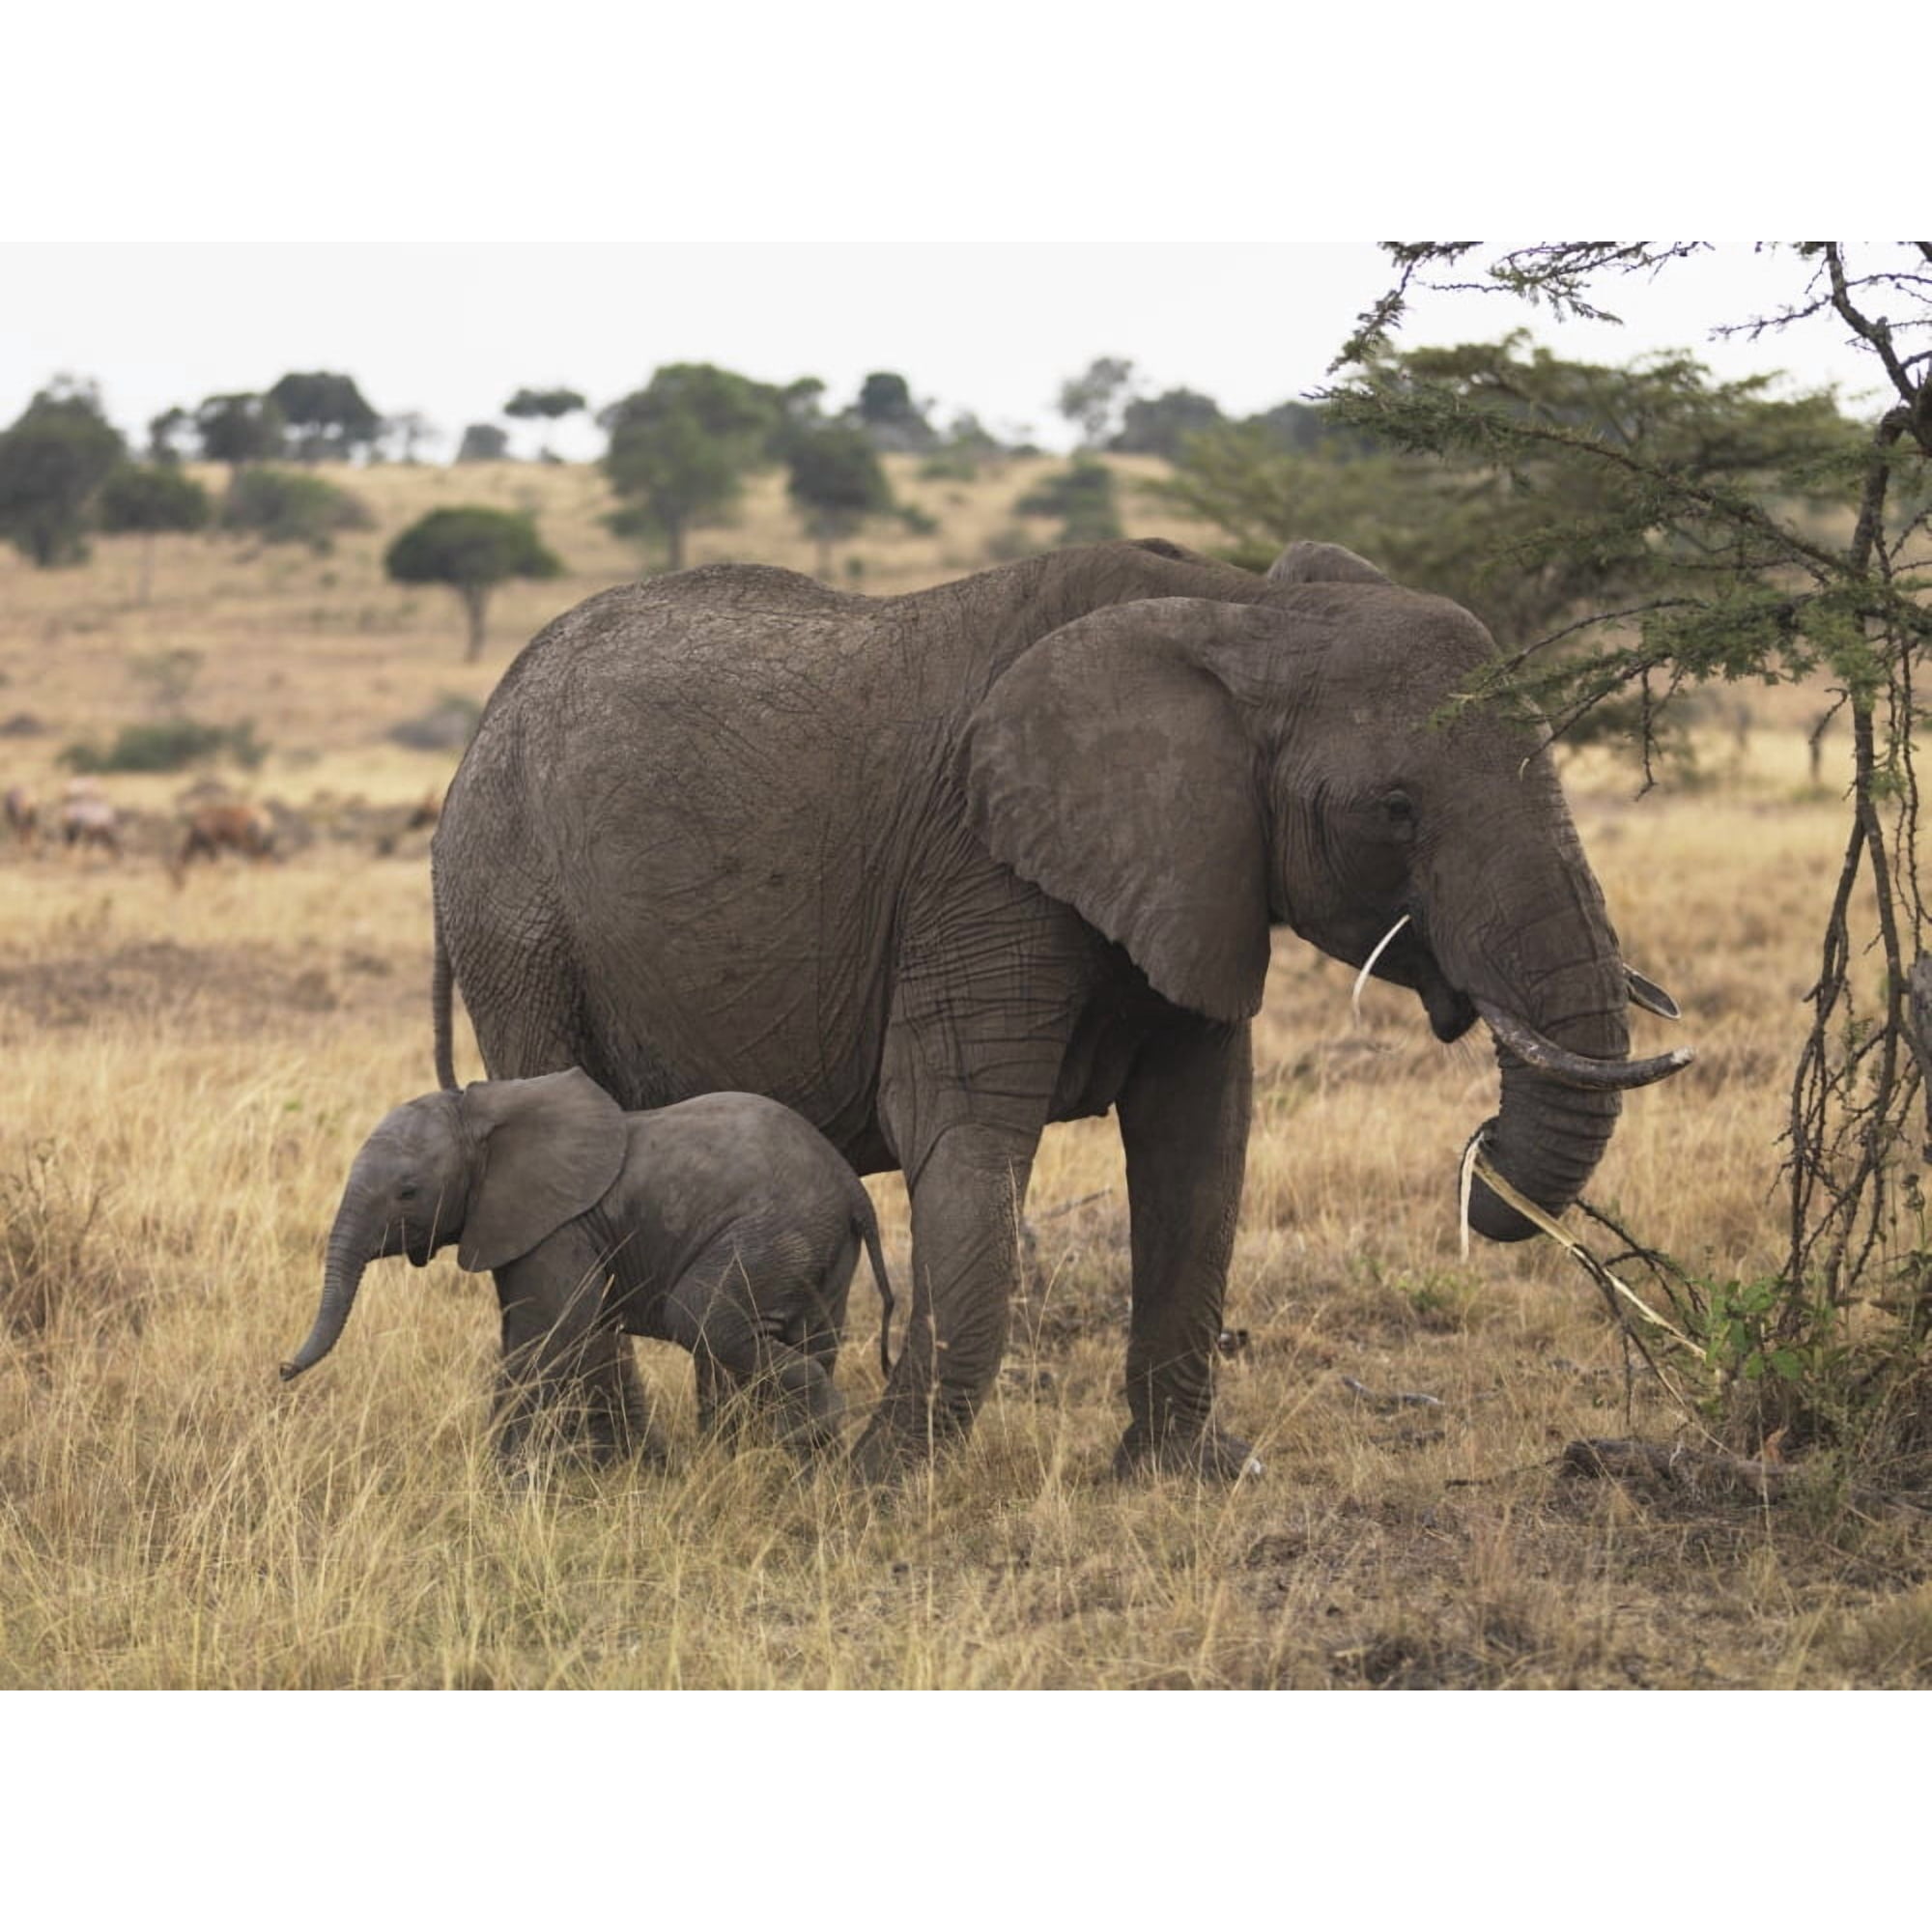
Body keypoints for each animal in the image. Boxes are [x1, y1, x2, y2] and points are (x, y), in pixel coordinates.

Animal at [280, 1070, 897, 1463]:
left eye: (407, 1192)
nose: (283, 1370)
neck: (480, 1114)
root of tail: (850, 1187)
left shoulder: (556, 1227)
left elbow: (550, 1335)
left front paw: (503, 1483)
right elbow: (534, 1331)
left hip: (775, 1225)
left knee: (700, 1315)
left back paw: (815, 1426)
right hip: (820, 1242)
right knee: (813, 1332)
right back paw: (803, 1459)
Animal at [428, 537, 1689, 1480]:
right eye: (1393, 807)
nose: (1476, 1174)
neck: (1243, 611)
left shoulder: (1196, 871)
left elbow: (1200, 1142)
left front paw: (1185, 1478)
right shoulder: (979, 866)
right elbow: (962, 1127)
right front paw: (877, 1483)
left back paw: (713, 1453)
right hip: (514, 915)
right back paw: (607, 1469)